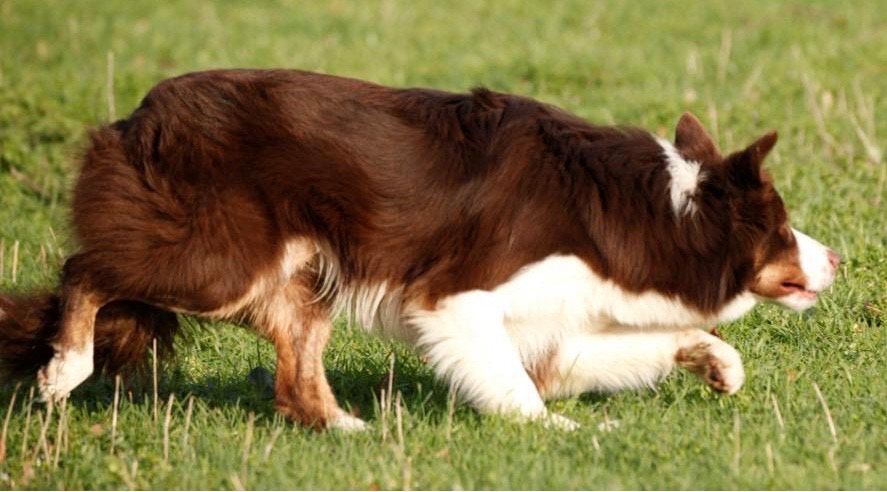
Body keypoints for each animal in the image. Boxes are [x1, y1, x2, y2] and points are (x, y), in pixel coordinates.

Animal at [0, 70, 840, 430]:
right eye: (782, 228)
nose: (840, 259)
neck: (662, 212)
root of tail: (140, 113)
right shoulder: (457, 299)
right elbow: (516, 389)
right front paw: (560, 437)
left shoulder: (553, 322)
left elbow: (610, 353)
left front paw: (717, 362)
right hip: (217, 260)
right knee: (86, 269)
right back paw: (61, 372)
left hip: (301, 276)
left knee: (295, 379)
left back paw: (352, 435)